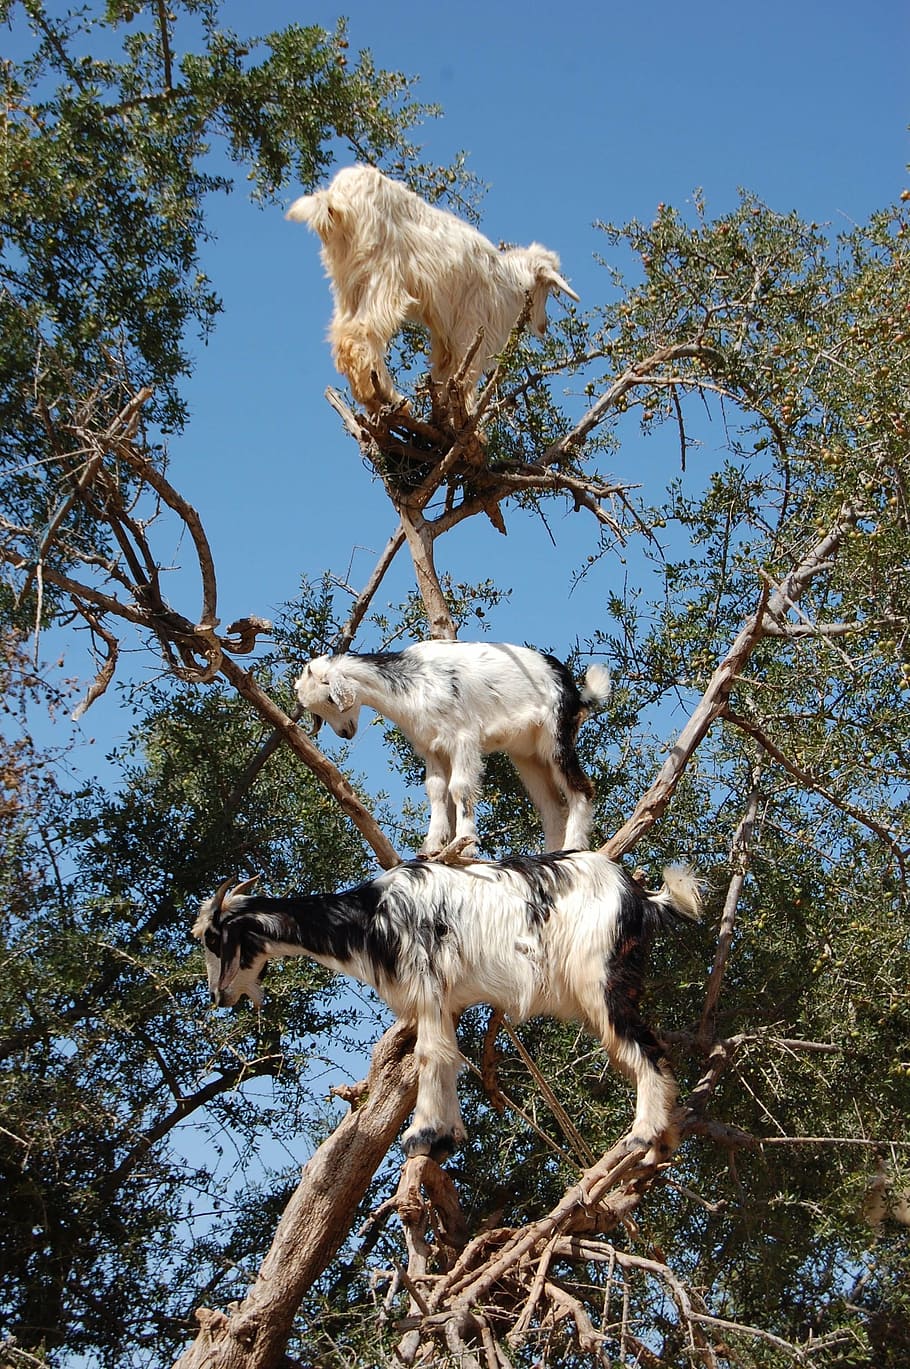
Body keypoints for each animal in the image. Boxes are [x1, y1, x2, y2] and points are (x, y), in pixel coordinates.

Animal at [192, 854, 700, 1166]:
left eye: (213, 938)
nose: (219, 997)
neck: (368, 916)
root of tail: (642, 898)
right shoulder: (446, 1000)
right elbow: (449, 1057)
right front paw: (449, 1135)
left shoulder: (427, 987)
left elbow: (429, 1056)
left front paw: (420, 1135)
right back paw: (664, 1140)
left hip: (601, 981)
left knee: (649, 1048)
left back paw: (643, 1135)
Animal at [287, 163, 577, 407]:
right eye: (548, 290)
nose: (544, 326)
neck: (509, 281)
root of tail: (335, 198)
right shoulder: (472, 327)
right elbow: (465, 376)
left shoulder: (445, 335)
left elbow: (444, 376)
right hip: (383, 272)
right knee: (361, 332)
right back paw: (388, 396)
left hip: (349, 281)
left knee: (342, 333)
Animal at [294, 643, 613, 854]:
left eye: (331, 698)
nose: (345, 733)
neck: (413, 683)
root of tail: (574, 690)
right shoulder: (431, 747)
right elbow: (436, 790)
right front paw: (432, 846)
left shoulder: (463, 739)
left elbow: (460, 788)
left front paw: (466, 845)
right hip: (528, 755)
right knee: (551, 806)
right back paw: (550, 855)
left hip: (556, 738)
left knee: (581, 788)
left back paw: (573, 848)